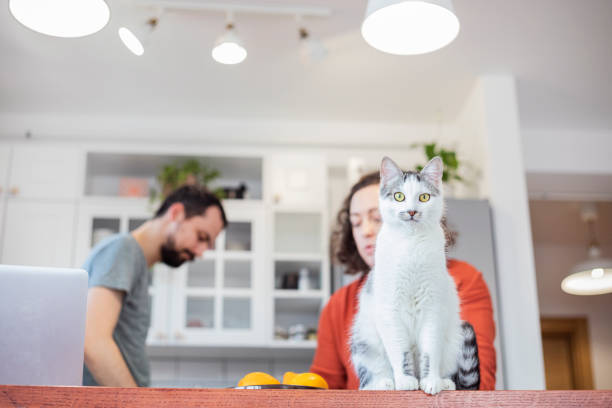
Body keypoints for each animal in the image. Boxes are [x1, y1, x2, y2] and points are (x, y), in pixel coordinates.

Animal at [352, 155, 480, 394]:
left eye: (424, 197)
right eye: (399, 196)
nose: (411, 211)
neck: (411, 245)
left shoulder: (433, 309)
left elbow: (430, 351)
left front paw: (431, 382)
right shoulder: (390, 310)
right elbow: (400, 352)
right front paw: (404, 381)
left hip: (454, 339)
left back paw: (446, 382)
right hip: (364, 340)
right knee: (368, 378)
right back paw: (384, 383)